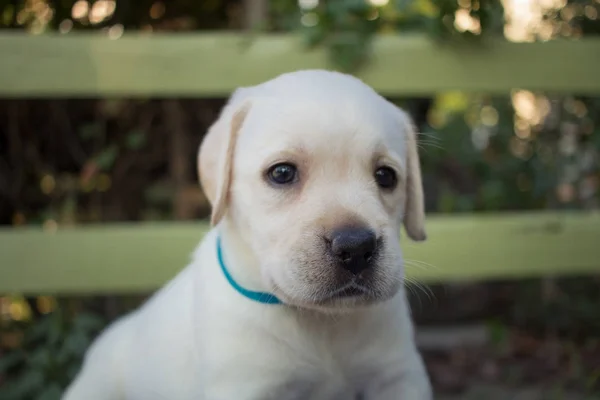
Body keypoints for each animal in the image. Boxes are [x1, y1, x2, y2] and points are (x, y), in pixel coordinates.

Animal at [62, 69, 432, 400]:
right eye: (282, 173)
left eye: (386, 176)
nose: (356, 247)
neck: (319, 323)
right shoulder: (245, 387)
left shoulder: (398, 378)